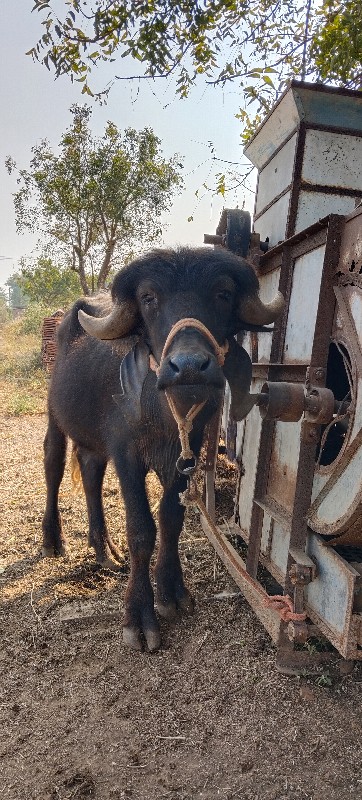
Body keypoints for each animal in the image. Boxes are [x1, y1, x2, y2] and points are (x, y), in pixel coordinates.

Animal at [42, 248, 282, 648]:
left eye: (223, 293)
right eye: (148, 298)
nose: (189, 366)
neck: (167, 412)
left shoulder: (187, 453)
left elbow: (172, 518)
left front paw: (171, 592)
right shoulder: (126, 454)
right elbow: (141, 529)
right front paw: (139, 615)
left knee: (90, 471)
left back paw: (104, 550)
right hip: (54, 413)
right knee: (54, 464)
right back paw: (52, 539)